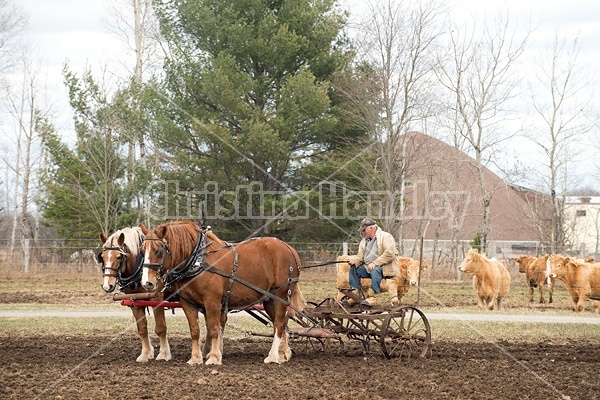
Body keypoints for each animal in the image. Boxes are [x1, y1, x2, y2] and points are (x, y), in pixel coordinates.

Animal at [96, 228, 171, 362]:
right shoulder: (134, 301)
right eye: (102, 257)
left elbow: (160, 328)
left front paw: (164, 354)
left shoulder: (157, 299)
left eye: (119, 257)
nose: (107, 286)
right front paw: (146, 354)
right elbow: (142, 329)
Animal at [141, 220, 304, 368]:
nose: (147, 283)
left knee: (278, 324)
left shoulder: (212, 301)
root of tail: (289, 248)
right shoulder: (187, 302)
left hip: (281, 295)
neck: (198, 260)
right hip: (269, 298)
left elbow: (213, 329)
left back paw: (273, 356)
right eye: (142, 250)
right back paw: (282, 354)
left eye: (159, 250)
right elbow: (195, 331)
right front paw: (195, 359)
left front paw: (213, 358)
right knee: (281, 324)